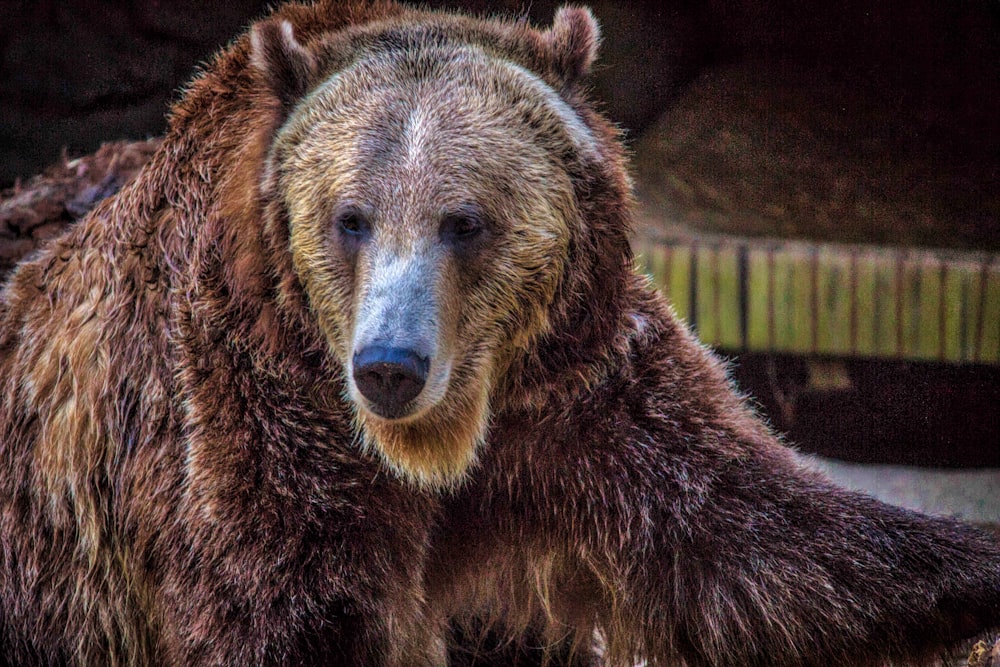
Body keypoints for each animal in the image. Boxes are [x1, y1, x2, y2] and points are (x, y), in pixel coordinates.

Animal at [0, 1, 996, 667]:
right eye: (350, 217)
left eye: (464, 221)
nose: (389, 366)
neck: (447, 439)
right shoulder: (247, 410)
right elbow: (292, 611)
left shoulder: (583, 395)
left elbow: (758, 541)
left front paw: (972, 570)